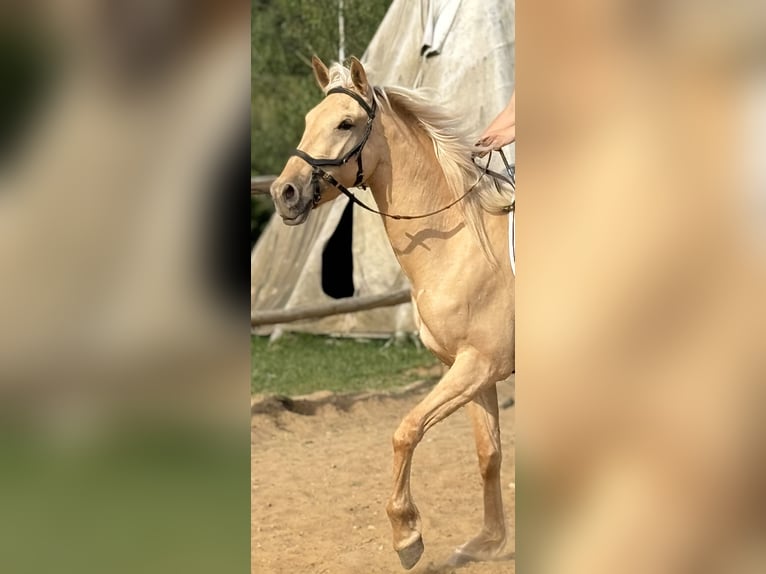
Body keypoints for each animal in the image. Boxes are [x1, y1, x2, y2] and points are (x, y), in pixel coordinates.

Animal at [270, 56, 515, 570]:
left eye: (345, 123)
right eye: (308, 120)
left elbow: (406, 431)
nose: (285, 192)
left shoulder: (478, 365)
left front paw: (407, 536)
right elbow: (488, 453)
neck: (461, 244)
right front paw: (485, 543)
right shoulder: (471, 370)